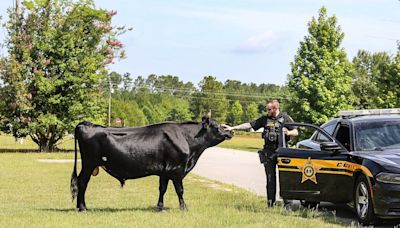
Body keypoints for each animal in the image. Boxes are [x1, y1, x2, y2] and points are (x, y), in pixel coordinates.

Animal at [69, 116, 231, 211]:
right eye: (217, 126)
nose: (230, 132)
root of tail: (86, 124)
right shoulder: (177, 170)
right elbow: (180, 190)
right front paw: (184, 207)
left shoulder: (165, 171)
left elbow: (162, 189)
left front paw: (160, 207)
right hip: (89, 163)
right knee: (82, 182)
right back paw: (83, 208)